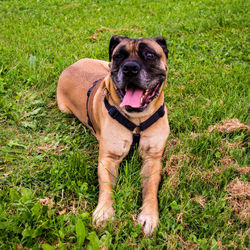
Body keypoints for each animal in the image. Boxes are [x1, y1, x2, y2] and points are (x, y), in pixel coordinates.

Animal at [56, 35, 170, 236]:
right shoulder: (108, 158)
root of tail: (70, 66)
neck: (137, 121)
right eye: (119, 56)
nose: (130, 68)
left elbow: (151, 189)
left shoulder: (153, 158)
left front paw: (149, 215)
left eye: (149, 54)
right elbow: (106, 186)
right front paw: (104, 211)